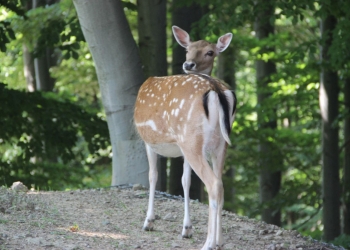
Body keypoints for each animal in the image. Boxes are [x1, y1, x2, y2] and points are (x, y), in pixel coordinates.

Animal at [134, 26, 235, 249]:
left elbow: (153, 176)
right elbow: (185, 180)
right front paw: (186, 229)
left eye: (210, 52)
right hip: (217, 143)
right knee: (221, 184)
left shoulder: (149, 141)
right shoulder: (182, 148)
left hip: (191, 139)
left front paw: (148, 222)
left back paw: (208, 243)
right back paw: (220, 241)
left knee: (213, 184)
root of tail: (216, 90)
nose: (188, 64)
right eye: (188, 49)